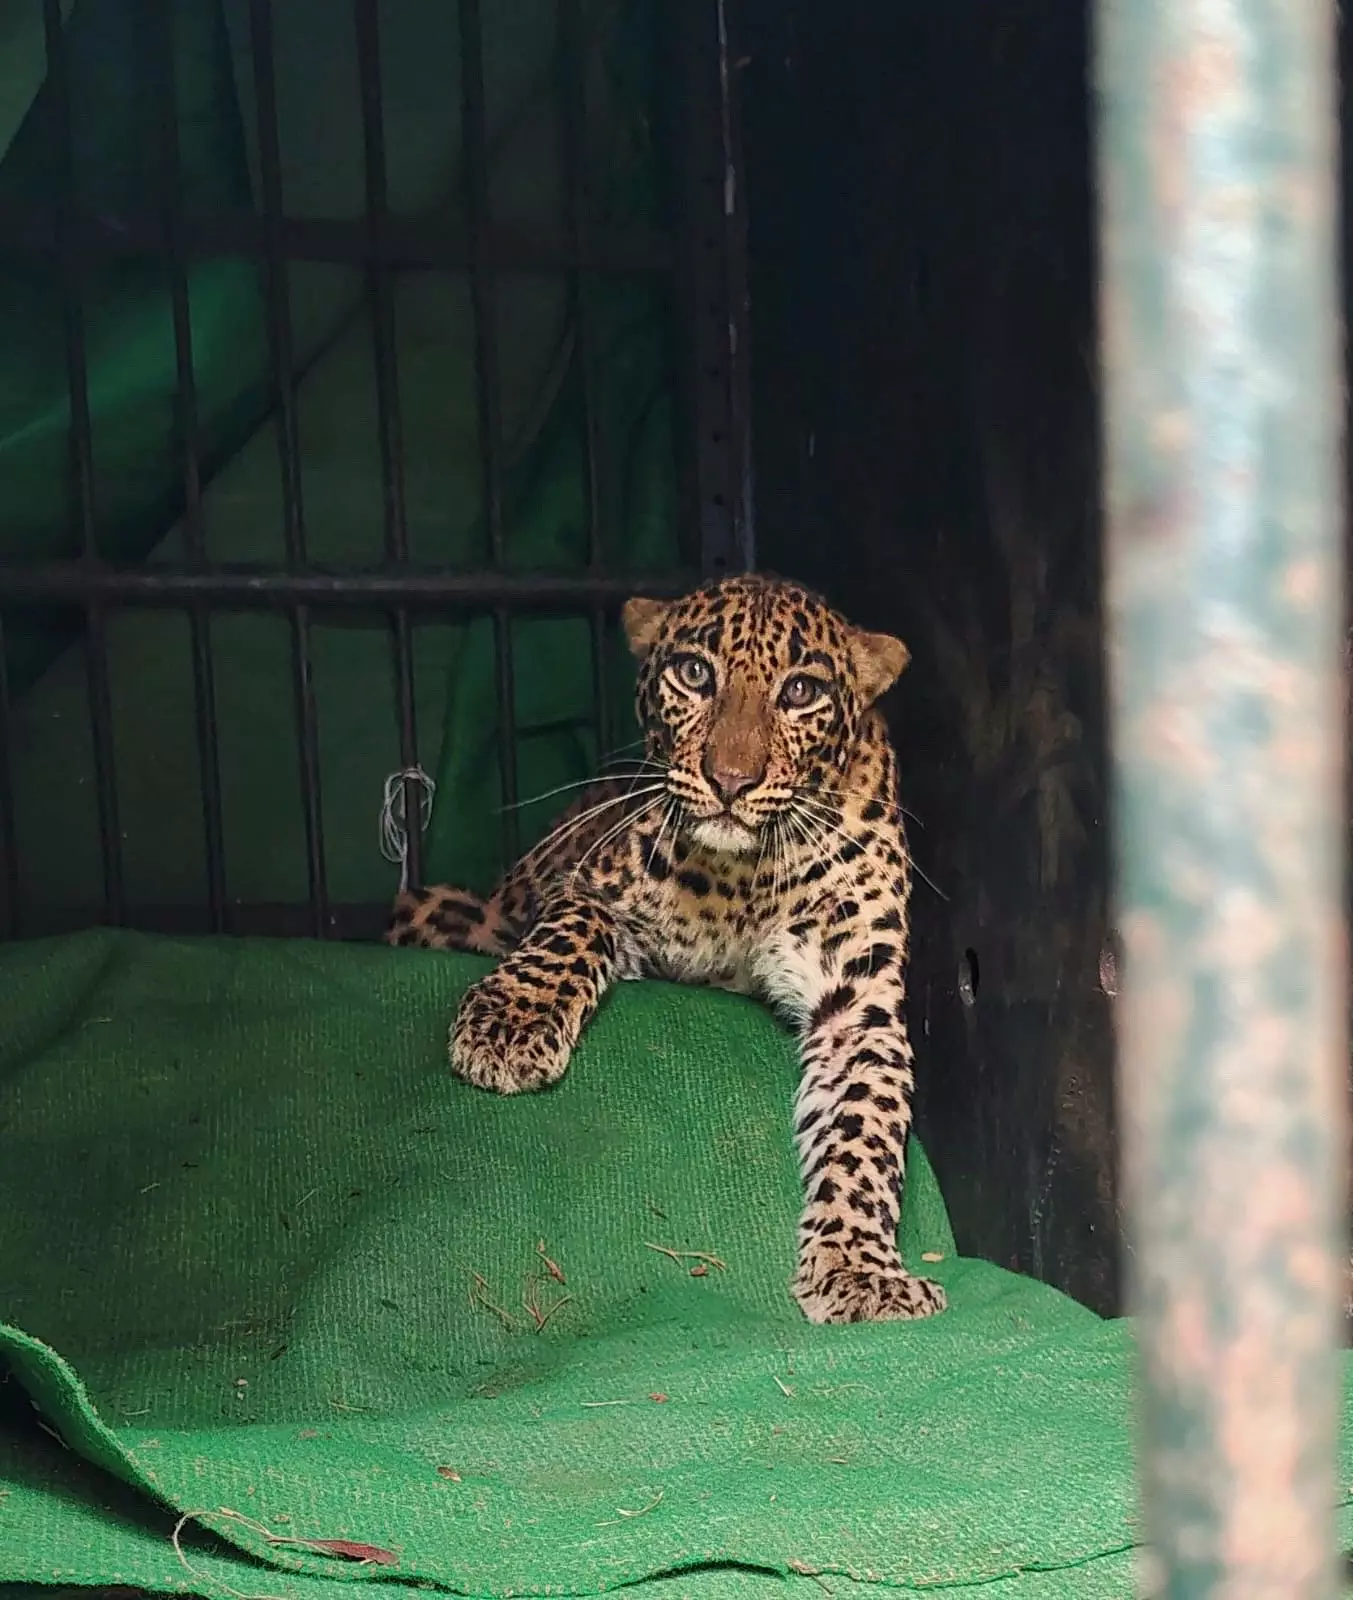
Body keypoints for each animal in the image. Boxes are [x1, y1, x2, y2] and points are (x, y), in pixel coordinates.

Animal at [386, 573, 946, 1326]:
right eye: (694, 674)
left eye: (801, 691)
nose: (731, 781)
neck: (743, 881)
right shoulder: (586, 883)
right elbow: (572, 932)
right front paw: (510, 1023)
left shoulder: (858, 1006)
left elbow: (867, 1131)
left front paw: (860, 1267)